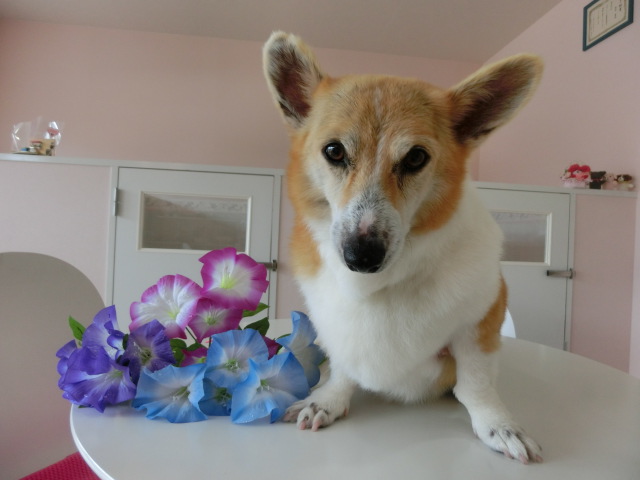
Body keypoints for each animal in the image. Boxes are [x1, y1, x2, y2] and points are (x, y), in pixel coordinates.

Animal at [263, 31, 543, 464]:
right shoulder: (337, 329)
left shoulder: (480, 320)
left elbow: (476, 383)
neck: (383, 284)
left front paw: (499, 426)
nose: (361, 256)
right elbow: (343, 368)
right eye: (333, 151)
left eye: (415, 158)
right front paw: (327, 400)